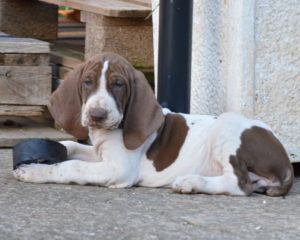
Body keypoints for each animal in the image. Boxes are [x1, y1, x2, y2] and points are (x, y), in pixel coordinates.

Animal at [13, 53, 292, 197]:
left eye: (118, 85)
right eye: (87, 82)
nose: (97, 114)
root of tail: (286, 163)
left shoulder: (119, 169)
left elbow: (71, 167)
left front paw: (34, 171)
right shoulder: (101, 155)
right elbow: (70, 146)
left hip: (227, 125)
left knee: (239, 184)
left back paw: (190, 182)